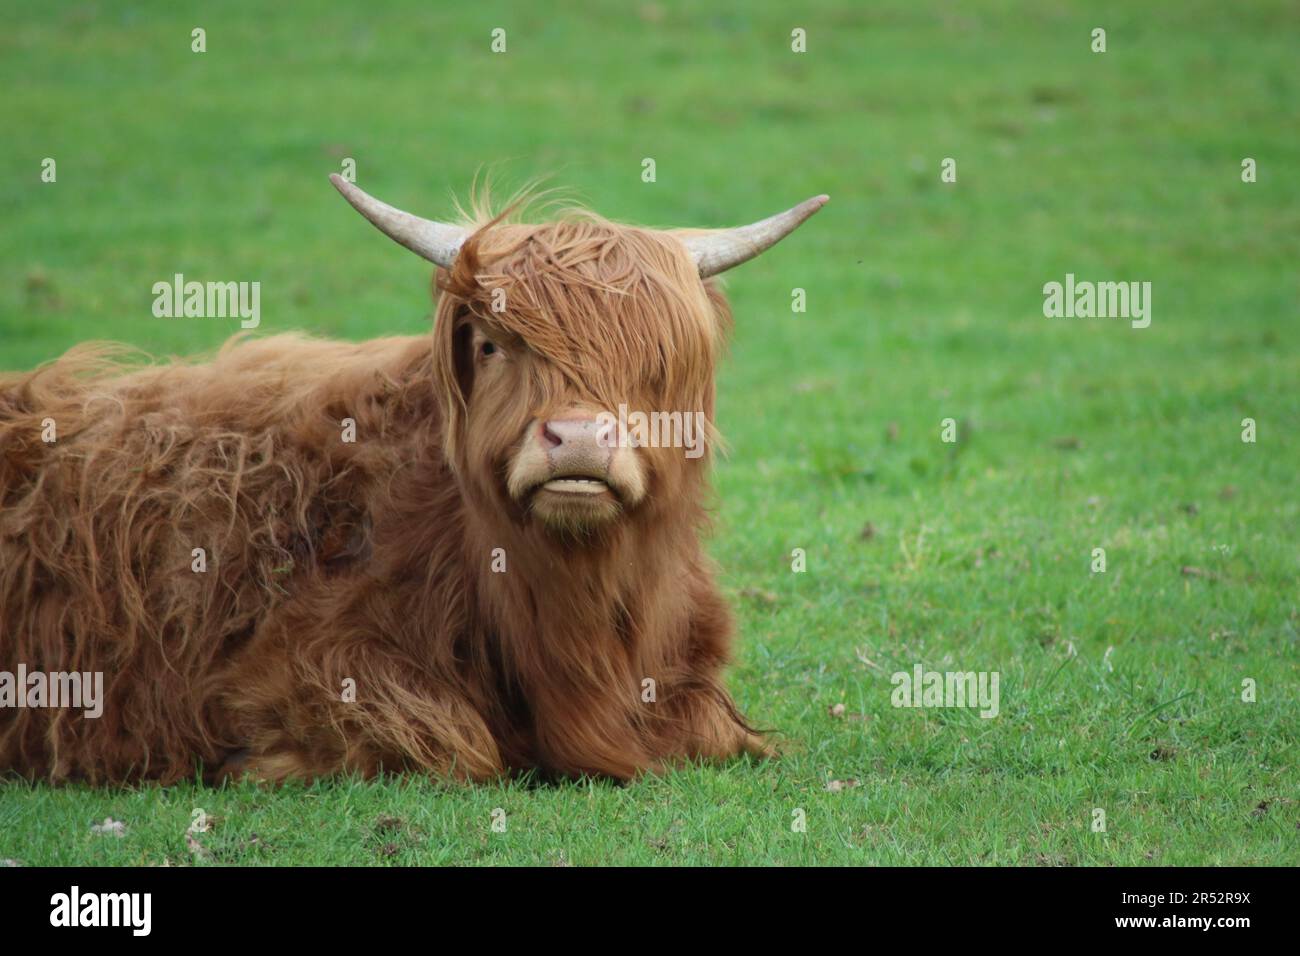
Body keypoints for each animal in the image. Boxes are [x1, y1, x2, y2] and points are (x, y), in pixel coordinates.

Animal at [0, 179, 826, 785]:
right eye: (492, 344)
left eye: (656, 360)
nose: (580, 439)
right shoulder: (308, 667)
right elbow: (455, 744)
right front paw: (255, 761)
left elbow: (713, 733)